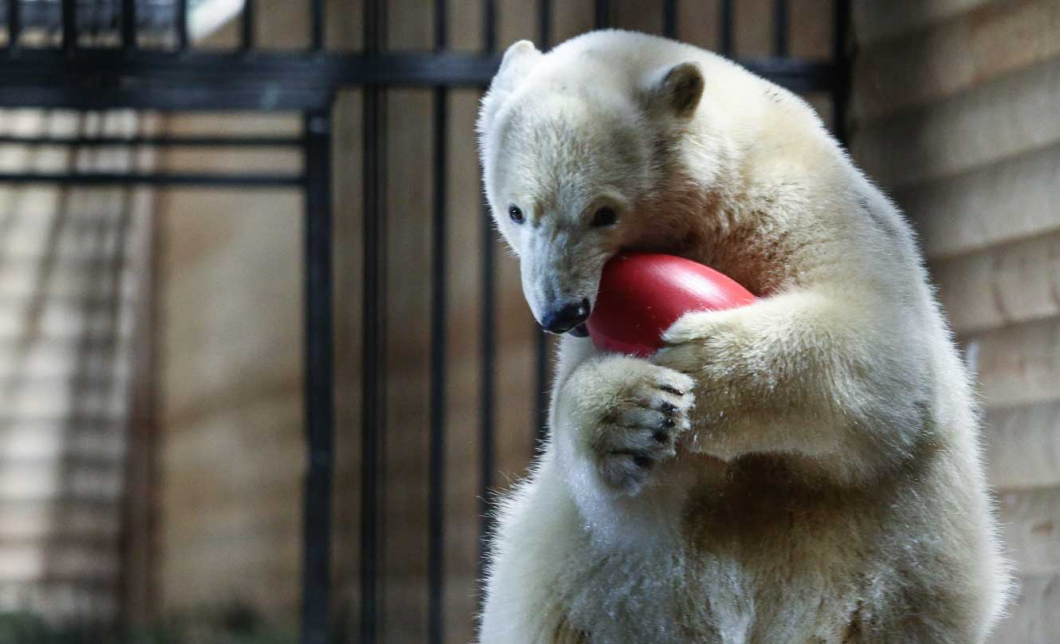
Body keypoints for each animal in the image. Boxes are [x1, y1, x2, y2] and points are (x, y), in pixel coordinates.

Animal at [479, 31, 1009, 644]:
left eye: (603, 212)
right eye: (517, 211)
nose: (560, 311)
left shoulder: (811, 208)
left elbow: (888, 356)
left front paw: (706, 362)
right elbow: (614, 480)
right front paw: (634, 413)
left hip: (899, 582)